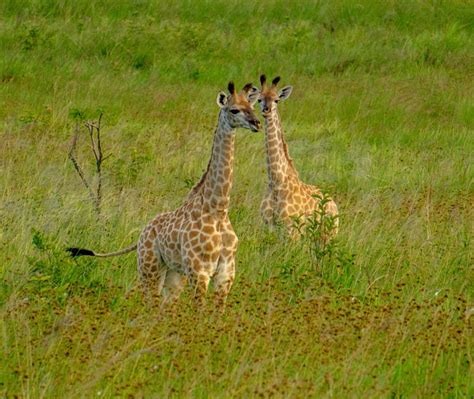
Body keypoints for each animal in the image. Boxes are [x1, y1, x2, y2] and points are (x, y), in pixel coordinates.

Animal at [67, 82, 262, 312]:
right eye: (234, 110)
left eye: (252, 106)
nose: (257, 123)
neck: (218, 208)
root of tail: (142, 234)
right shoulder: (199, 271)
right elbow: (199, 314)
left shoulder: (225, 274)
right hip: (150, 268)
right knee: (149, 305)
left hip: (174, 274)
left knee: (164, 308)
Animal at [258, 75, 338, 242]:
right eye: (259, 99)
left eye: (276, 100)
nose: (266, 110)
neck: (276, 181)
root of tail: (335, 206)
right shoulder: (269, 226)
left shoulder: (292, 229)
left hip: (328, 235)